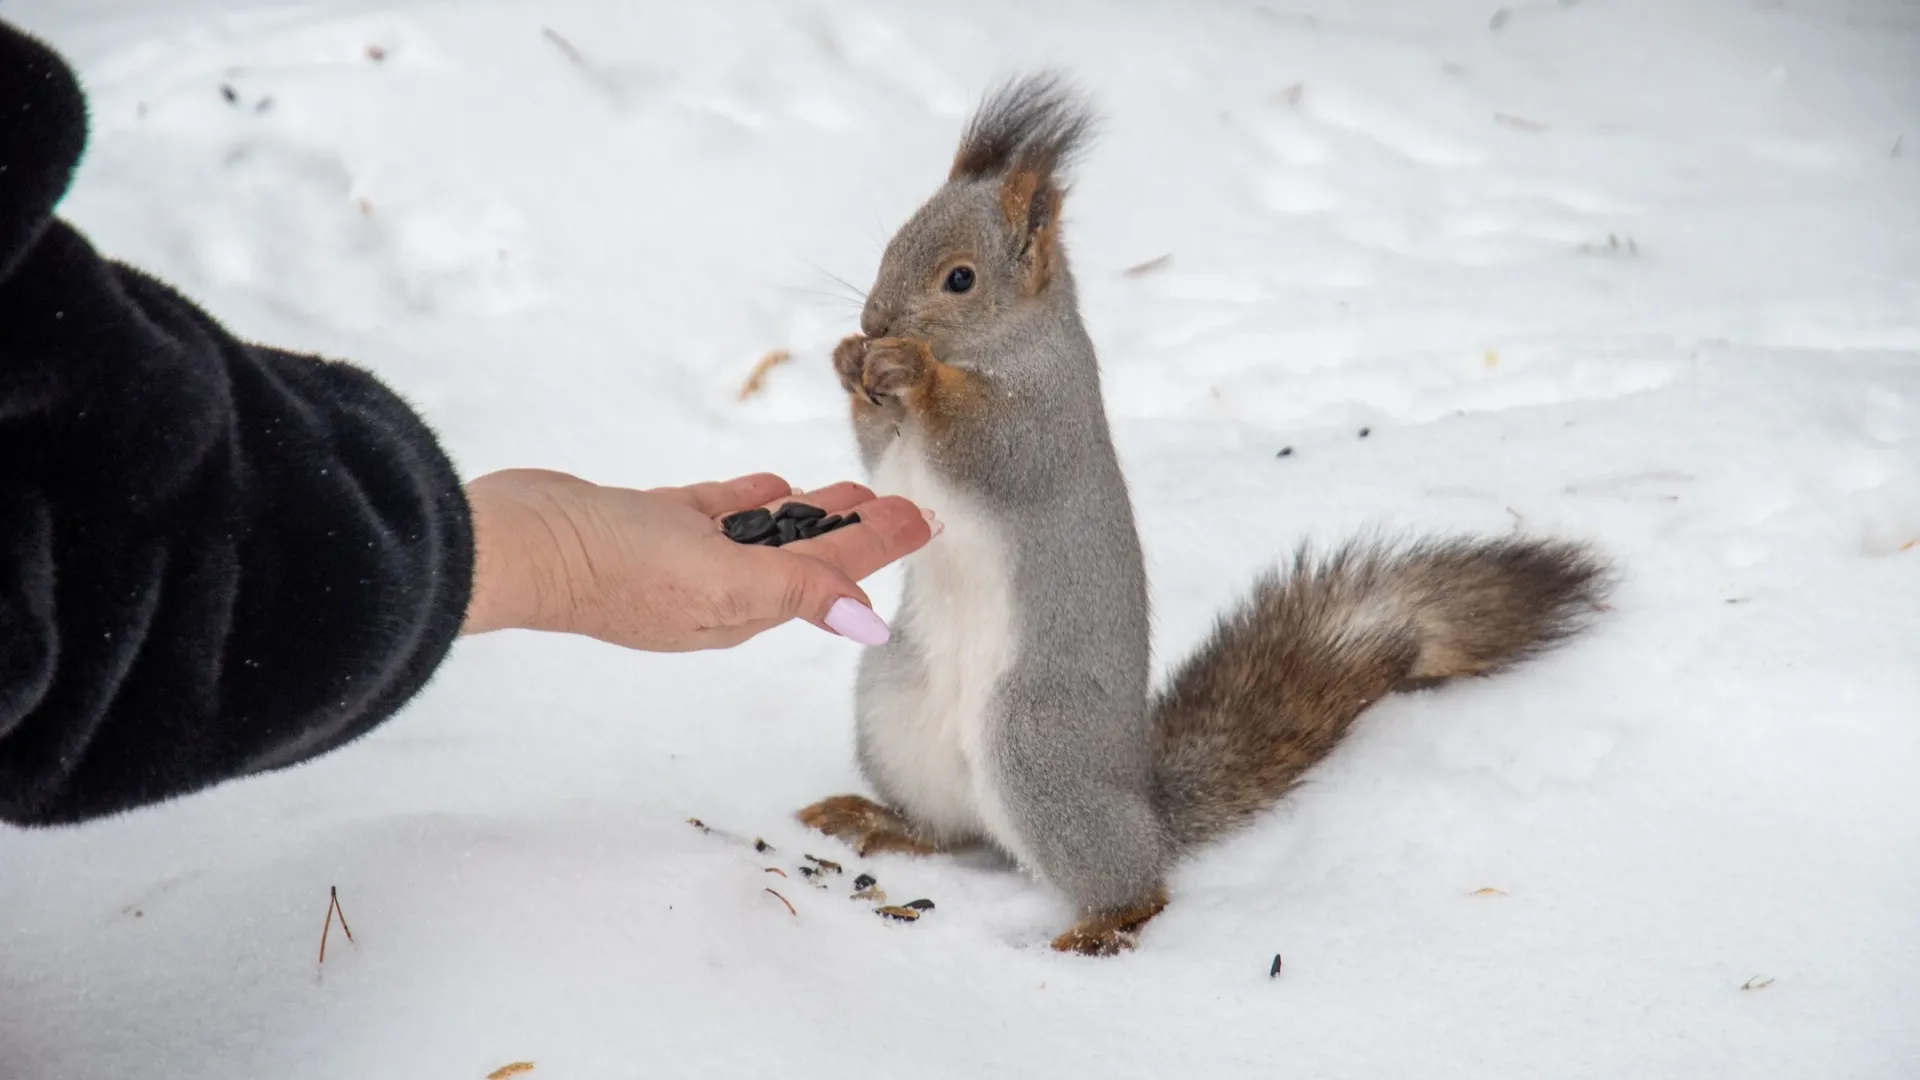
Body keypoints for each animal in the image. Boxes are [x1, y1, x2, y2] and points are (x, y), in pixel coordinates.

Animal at [787, 71, 1612, 953]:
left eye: (960, 279)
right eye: (891, 245)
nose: (874, 322)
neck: (1002, 347)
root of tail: (1148, 811)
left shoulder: (1043, 422)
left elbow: (981, 442)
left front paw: (910, 368)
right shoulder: (903, 454)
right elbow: (882, 460)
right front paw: (849, 362)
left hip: (1035, 749)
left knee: (1134, 882)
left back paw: (1099, 926)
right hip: (894, 712)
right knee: (951, 833)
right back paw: (879, 823)